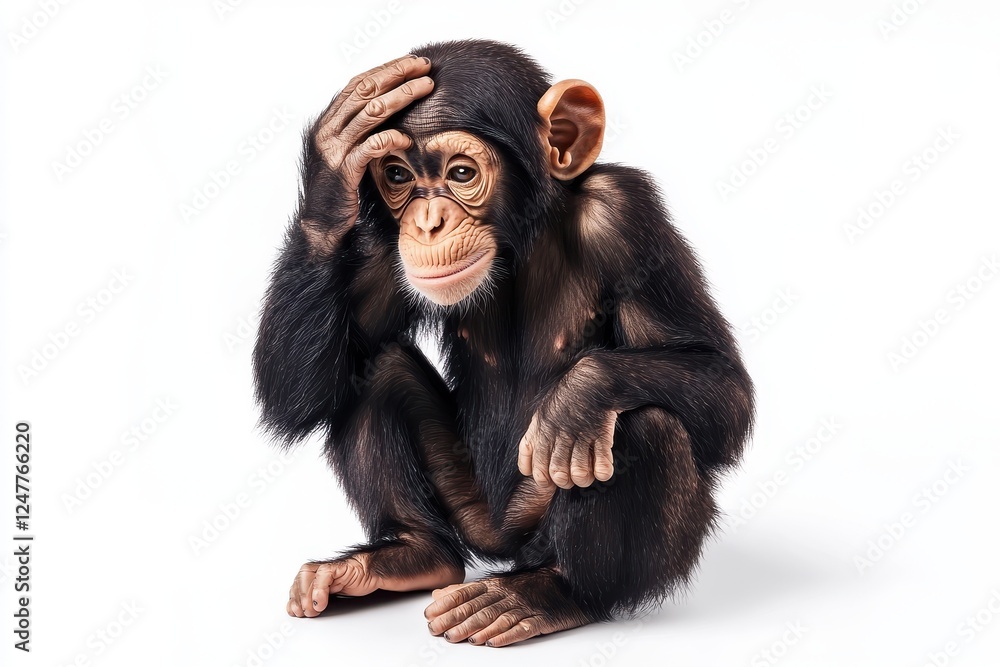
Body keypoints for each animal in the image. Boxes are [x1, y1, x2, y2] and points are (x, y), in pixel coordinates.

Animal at [253, 39, 753, 647]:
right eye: (396, 175)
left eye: (461, 172)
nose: (426, 222)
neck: (520, 241)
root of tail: (505, 545)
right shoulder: (381, 248)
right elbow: (298, 392)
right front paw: (333, 156)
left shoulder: (626, 216)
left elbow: (725, 385)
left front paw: (581, 396)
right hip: (471, 513)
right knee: (371, 371)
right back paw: (405, 556)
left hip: (538, 525)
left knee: (646, 424)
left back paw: (547, 595)